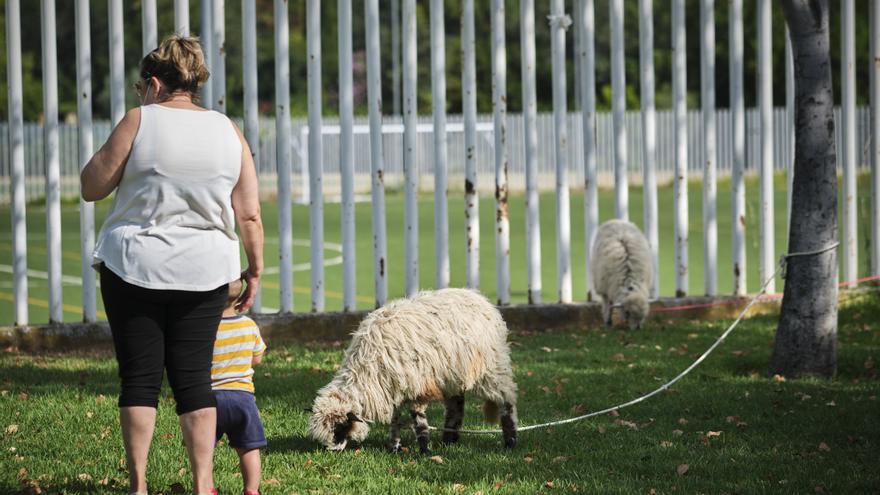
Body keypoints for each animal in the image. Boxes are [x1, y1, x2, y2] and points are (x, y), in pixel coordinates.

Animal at [308, 288, 520, 456]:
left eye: (339, 427)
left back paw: (510, 441)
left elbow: (418, 419)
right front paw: (394, 448)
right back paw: (449, 439)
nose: (332, 451)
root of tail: (481, 299)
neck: (366, 372)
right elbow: (395, 421)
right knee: (456, 406)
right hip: (453, 374)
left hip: (492, 368)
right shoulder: (393, 389)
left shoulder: (417, 385)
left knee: (506, 401)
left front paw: (424, 450)